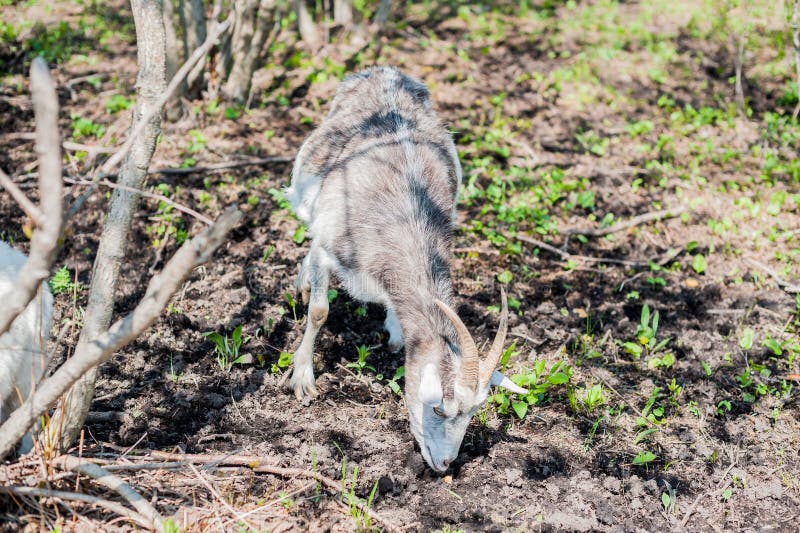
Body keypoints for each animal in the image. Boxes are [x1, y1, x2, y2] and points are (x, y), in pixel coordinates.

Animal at [285, 67, 528, 472]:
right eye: (438, 408)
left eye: (472, 413)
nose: (446, 463)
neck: (406, 221)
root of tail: (384, 72)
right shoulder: (330, 247)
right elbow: (319, 309)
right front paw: (303, 377)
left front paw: (396, 331)